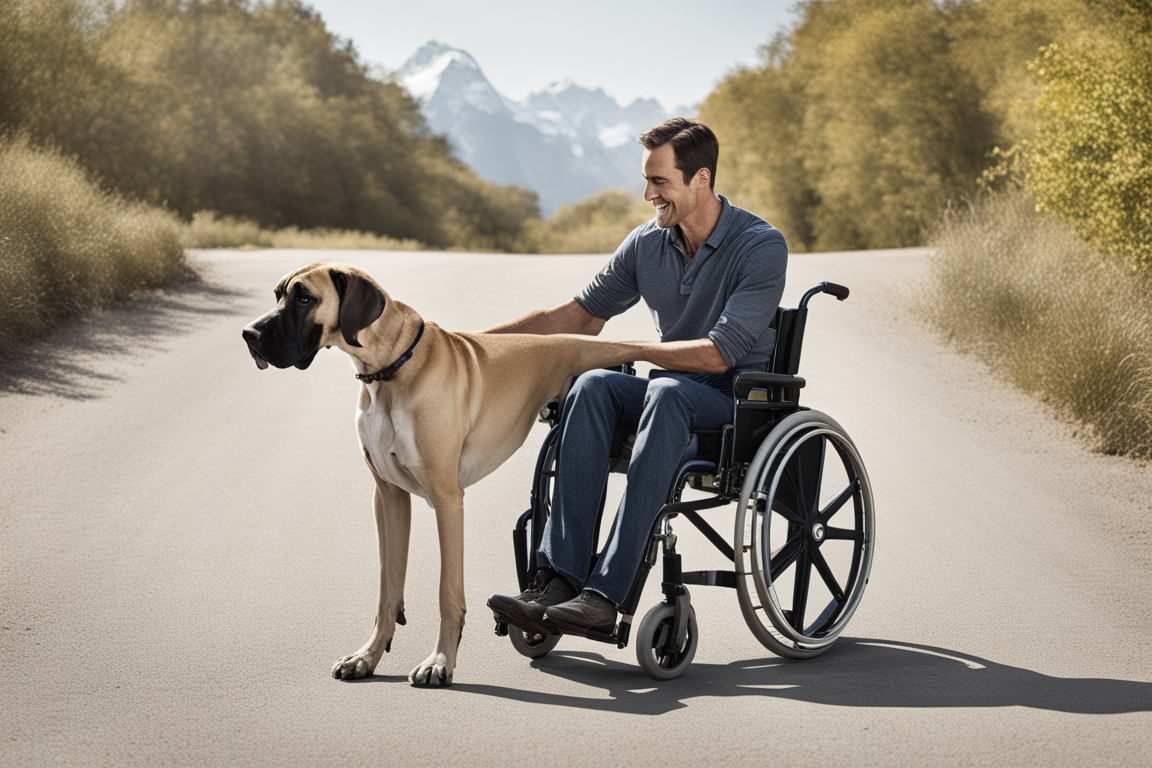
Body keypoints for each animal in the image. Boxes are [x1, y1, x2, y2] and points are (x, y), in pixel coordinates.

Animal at [239, 262, 635, 686]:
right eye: (278, 294)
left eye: (304, 297)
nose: (249, 334)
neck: (389, 369)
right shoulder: (389, 498)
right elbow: (387, 589)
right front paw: (368, 655)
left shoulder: (448, 500)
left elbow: (448, 592)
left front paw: (440, 661)